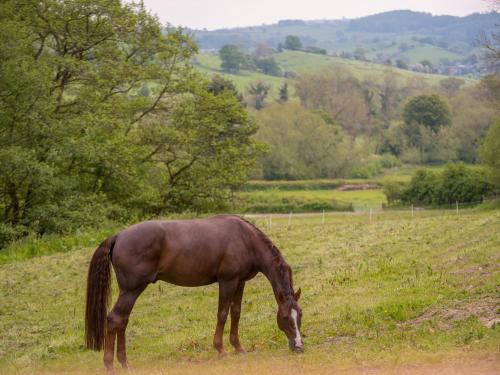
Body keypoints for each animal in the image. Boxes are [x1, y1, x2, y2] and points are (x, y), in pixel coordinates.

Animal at [85, 214, 302, 374]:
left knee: (122, 321)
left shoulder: (240, 282)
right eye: (285, 317)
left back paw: (124, 363)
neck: (246, 239)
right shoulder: (228, 281)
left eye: (299, 316)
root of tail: (118, 236)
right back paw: (110, 365)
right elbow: (222, 314)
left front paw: (238, 347)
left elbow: (236, 313)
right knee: (115, 319)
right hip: (131, 290)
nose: (299, 346)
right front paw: (221, 349)